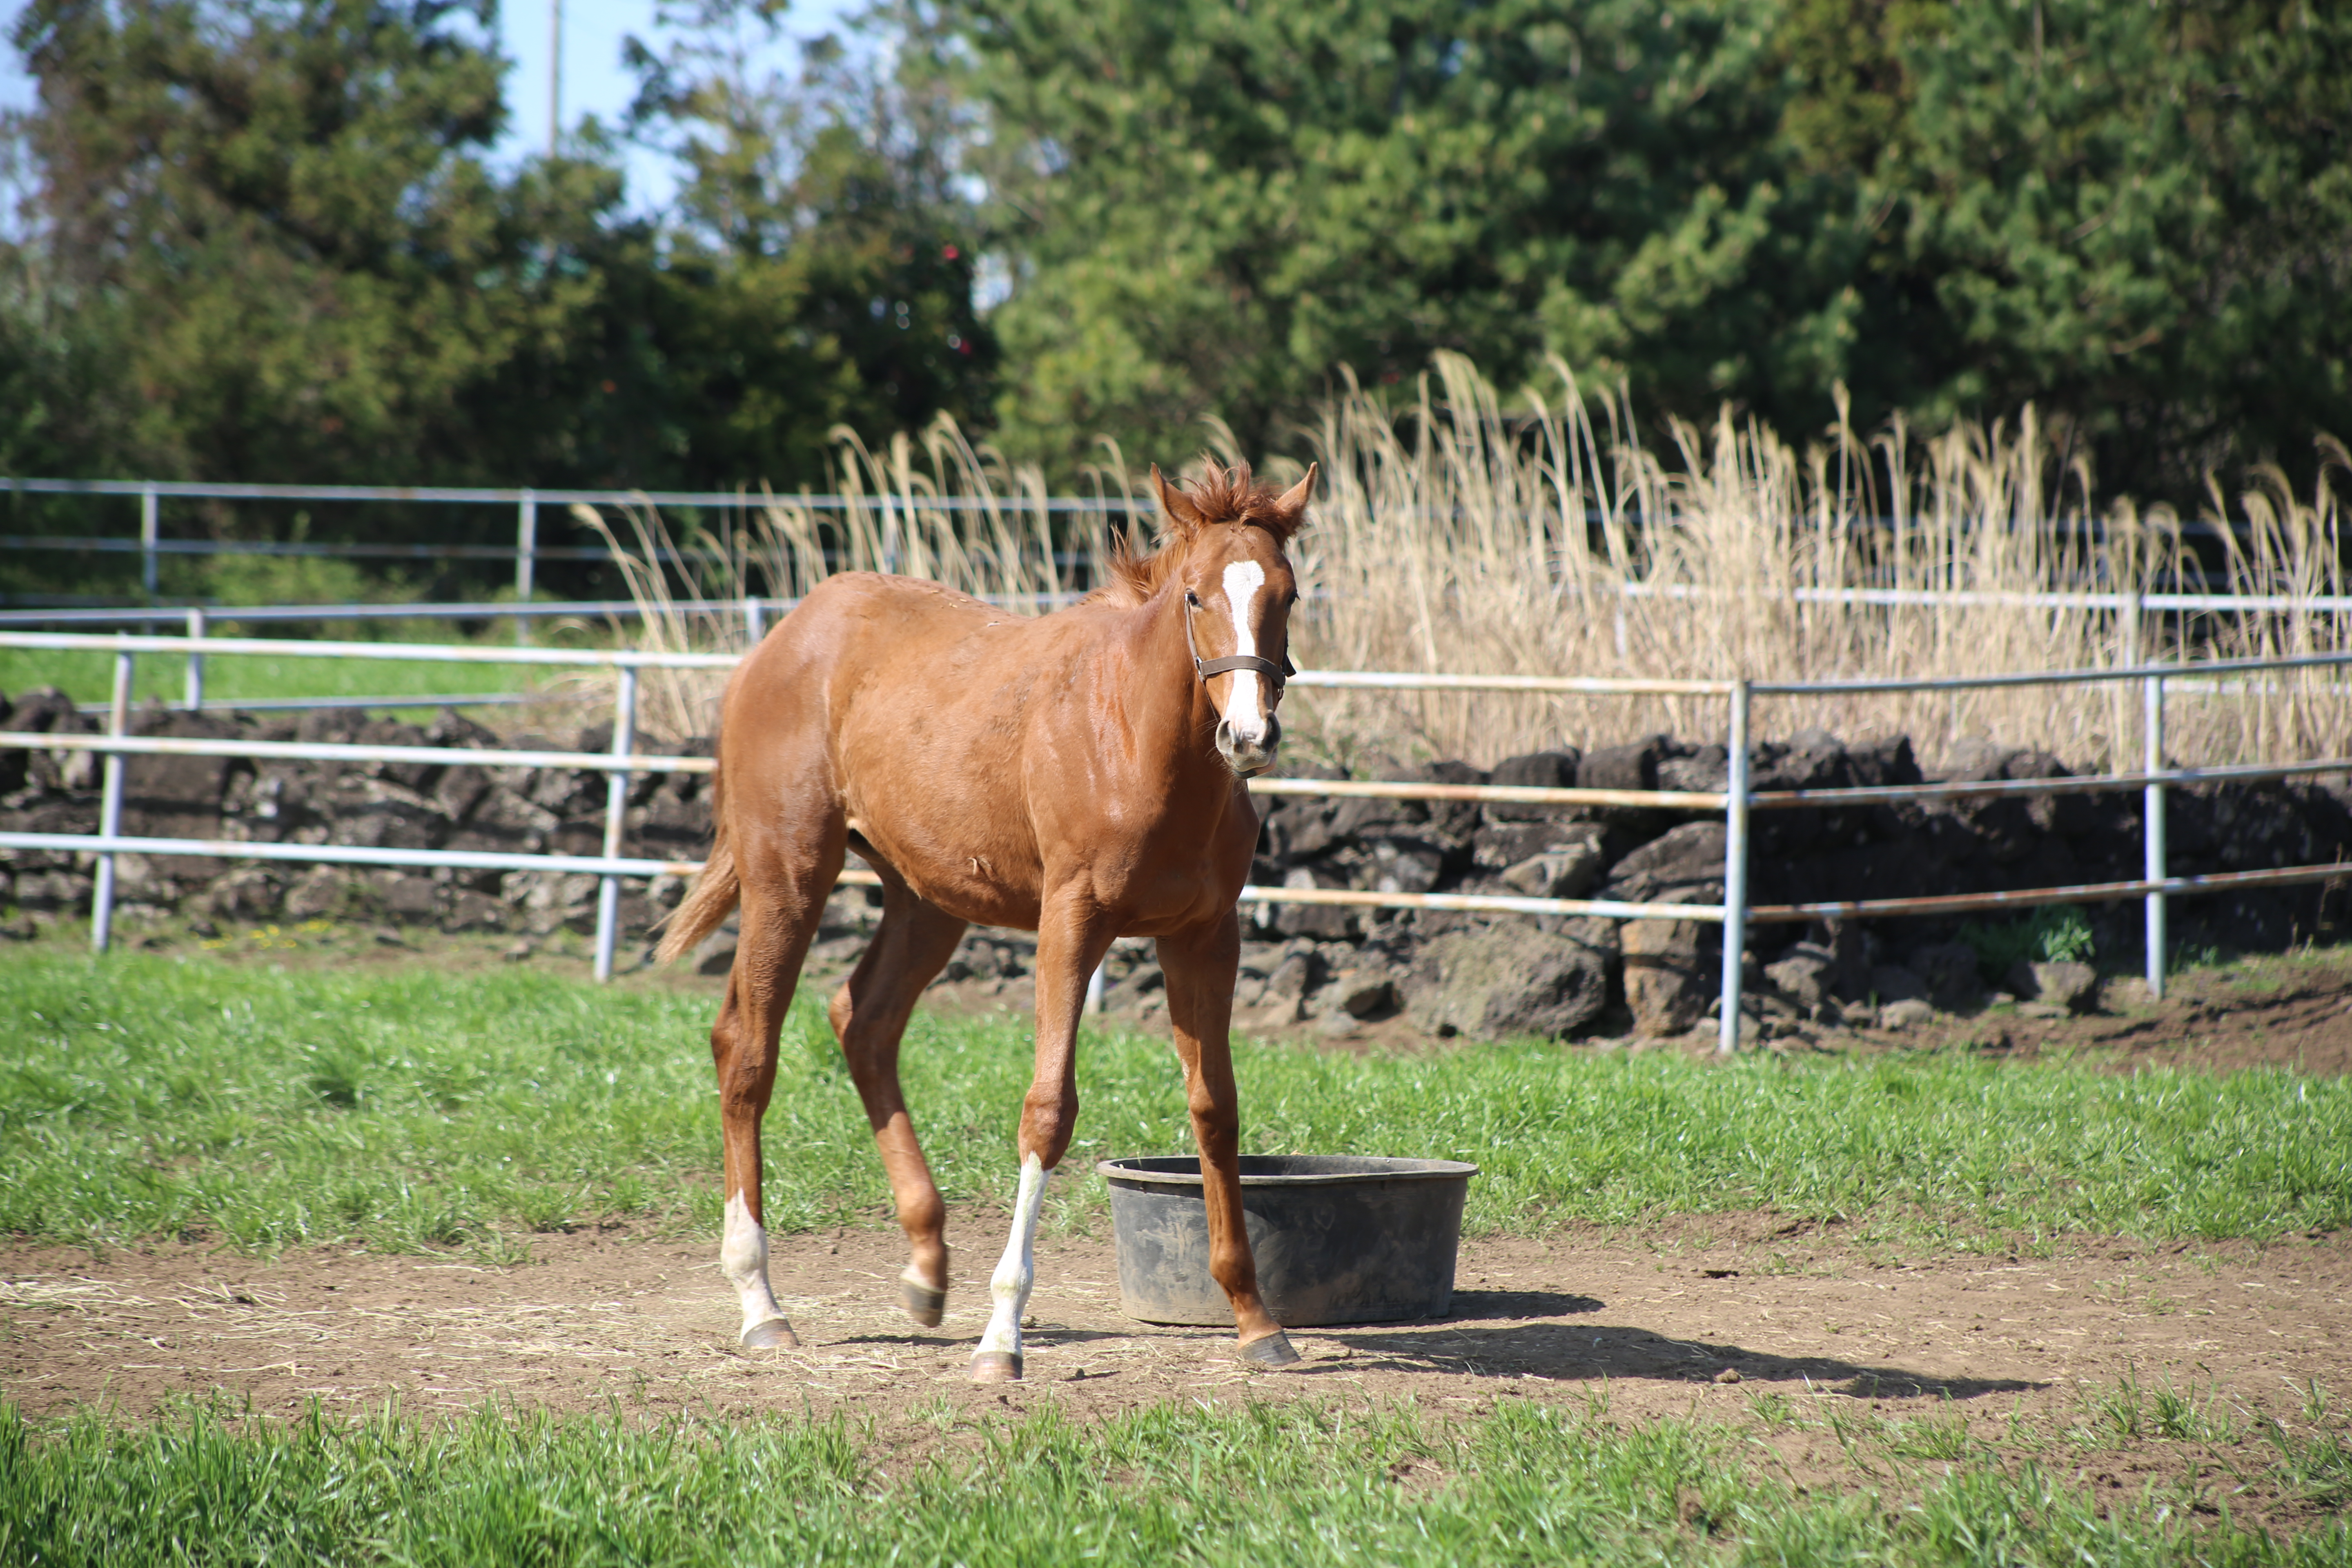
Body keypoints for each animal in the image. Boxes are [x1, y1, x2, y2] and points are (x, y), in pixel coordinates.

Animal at [663, 461, 1317, 1382]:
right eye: (1195, 595)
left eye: (1287, 594)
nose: (1249, 736)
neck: (1135, 738)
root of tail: (782, 640)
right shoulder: (1071, 922)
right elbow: (1048, 1109)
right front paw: (1002, 1334)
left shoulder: (1205, 936)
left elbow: (1216, 1109)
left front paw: (1257, 1320)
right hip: (787, 874)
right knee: (747, 1049)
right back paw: (761, 1302)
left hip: (925, 900)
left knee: (863, 1020)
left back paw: (926, 1268)